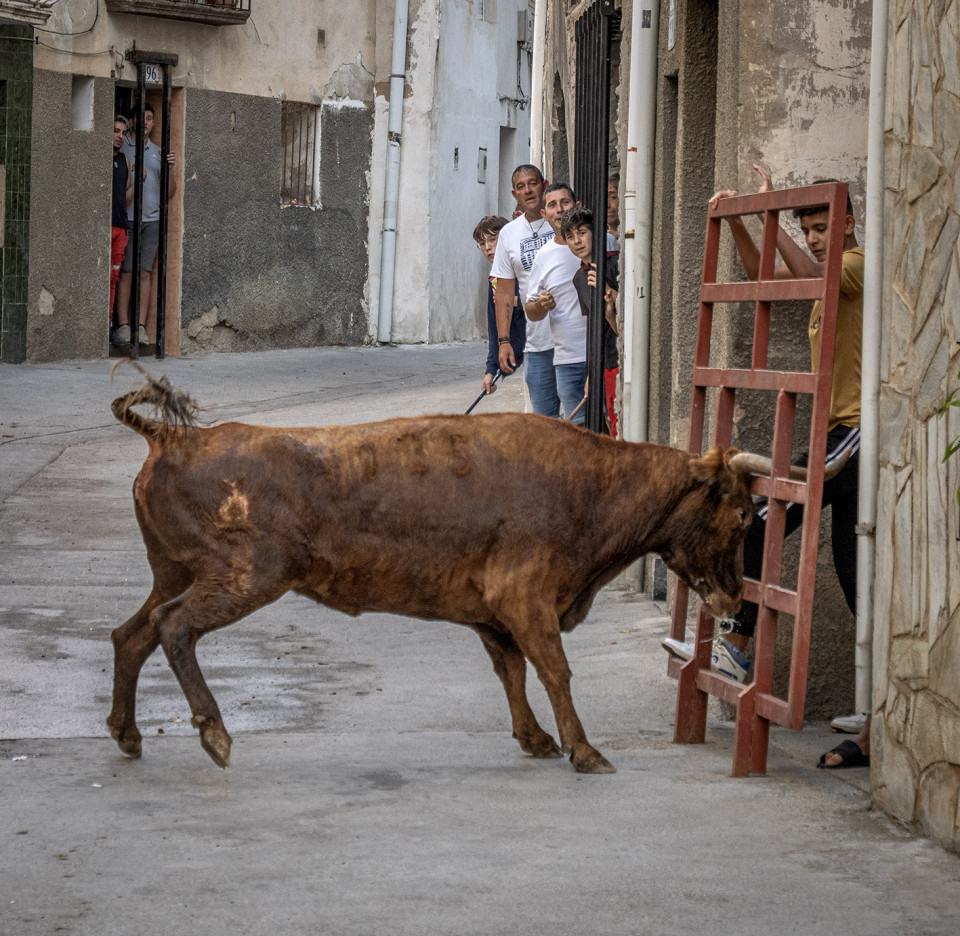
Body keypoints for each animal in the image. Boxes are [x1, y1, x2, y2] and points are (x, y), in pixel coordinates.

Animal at [107, 369, 765, 775]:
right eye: (739, 515)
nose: (735, 599)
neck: (591, 484)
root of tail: (173, 439)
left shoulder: (495, 615)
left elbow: (512, 671)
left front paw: (536, 739)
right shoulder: (525, 599)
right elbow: (554, 670)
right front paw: (584, 750)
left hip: (175, 571)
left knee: (131, 634)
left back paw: (128, 734)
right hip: (246, 576)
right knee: (172, 627)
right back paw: (214, 734)